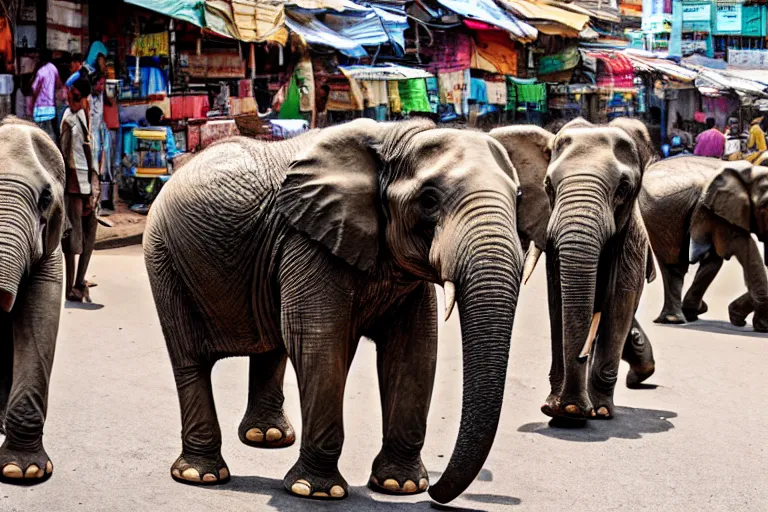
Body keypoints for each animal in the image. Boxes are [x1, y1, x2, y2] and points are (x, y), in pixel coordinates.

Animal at [141, 119, 532, 504]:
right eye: (429, 200)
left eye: (518, 199)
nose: (436, 493)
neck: (396, 136)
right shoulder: (307, 242)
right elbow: (317, 342)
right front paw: (316, 491)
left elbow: (414, 349)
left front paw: (400, 486)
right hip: (164, 258)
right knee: (190, 358)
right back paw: (201, 475)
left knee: (270, 344)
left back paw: (267, 437)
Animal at [640, 157, 768, 332]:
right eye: (765, 205)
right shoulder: (720, 211)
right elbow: (741, 245)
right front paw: (760, 325)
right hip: (659, 216)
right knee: (674, 264)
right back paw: (674, 319)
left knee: (711, 261)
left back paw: (692, 312)